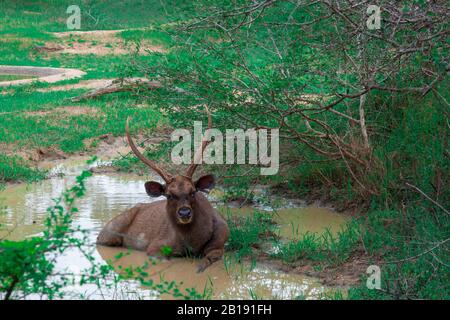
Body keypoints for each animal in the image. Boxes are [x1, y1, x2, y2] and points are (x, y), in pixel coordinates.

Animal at [99, 109, 232, 272]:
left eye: (193, 192)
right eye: (168, 195)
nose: (184, 213)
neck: (194, 243)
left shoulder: (220, 245)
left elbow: (205, 262)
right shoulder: (155, 247)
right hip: (108, 235)